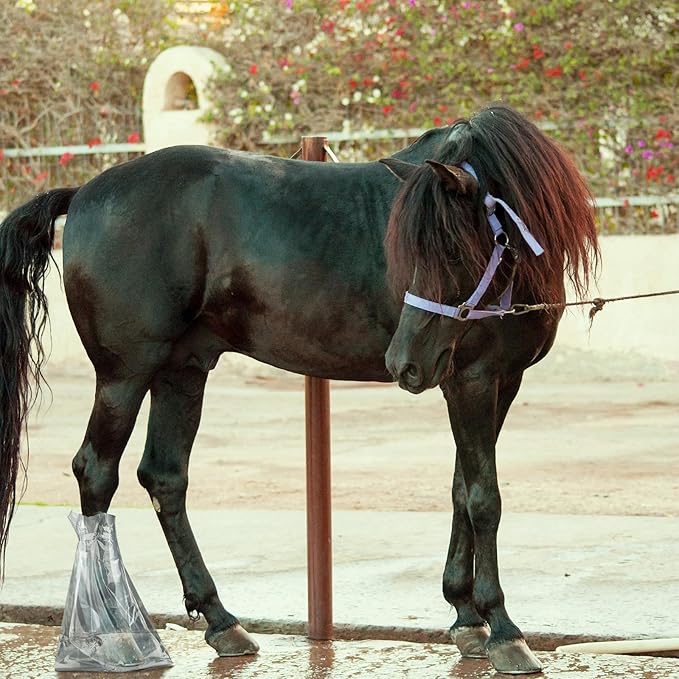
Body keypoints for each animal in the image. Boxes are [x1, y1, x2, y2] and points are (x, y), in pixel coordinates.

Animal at [0, 104, 598, 674]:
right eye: (413, 248)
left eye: (450, 251)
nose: (403, 363)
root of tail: (84, 194)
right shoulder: (471, 379)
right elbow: (483, 498)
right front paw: (503, 630)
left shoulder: (499, 381)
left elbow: (459, 489)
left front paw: (466, 616)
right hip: (124, 376)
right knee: (96, 472)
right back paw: (113, 633)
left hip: (182, 371)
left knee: (165, 478)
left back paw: (221, 622)